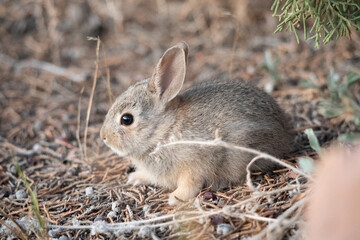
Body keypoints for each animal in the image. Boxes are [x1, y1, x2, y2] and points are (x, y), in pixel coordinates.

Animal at [100, 40, 292, 204]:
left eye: (126, 119)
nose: (104, 137)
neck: (163, 131)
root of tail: (284, 131)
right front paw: (136, 177)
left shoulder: (194, 165)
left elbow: (190, 184)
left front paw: (175, 198)